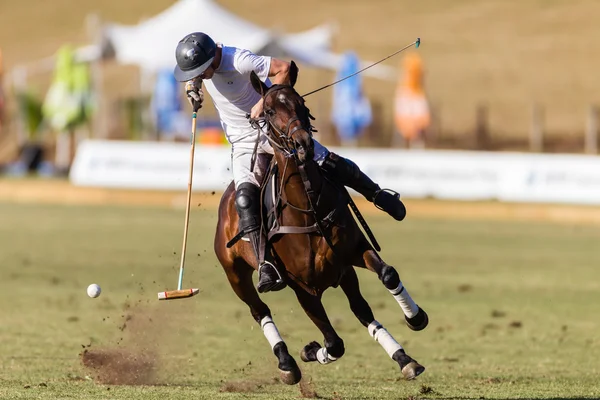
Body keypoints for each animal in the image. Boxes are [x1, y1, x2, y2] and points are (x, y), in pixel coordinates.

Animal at [213, 61, 428, 384]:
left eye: (302, 104)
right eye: (269, 112)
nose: (303, 144)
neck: (307, 208)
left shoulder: (352, 251)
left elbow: (388, 274)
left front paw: (415, 318)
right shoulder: (303, 286)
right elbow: (334, 343)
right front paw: (309, 351)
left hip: (343, 272)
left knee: (362, 310)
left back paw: (403, 358)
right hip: (234, 272)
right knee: (259, 309)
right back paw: (287, 362)